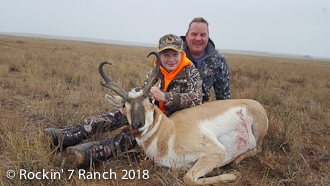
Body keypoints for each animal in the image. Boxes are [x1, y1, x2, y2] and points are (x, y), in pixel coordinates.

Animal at [100, 51, 268, 185]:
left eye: (151, 99)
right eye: (124, 105)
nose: (138, 124)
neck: (169, 131)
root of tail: (253, 102)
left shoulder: (217, 152)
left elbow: (188, 178)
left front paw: (232, 173)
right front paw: (221, 170)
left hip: (258, 129)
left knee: (258, 148)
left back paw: (236, 162)